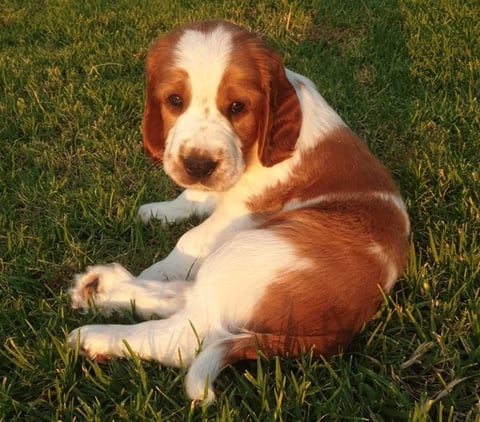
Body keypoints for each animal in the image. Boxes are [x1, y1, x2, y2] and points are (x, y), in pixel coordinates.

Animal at [69, 20, 410, 406]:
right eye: (175, 101)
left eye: (237, 106)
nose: (198, 165)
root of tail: (340, 331)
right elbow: (194, 196)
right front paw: (161, 211)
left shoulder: (248, 208)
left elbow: (193, 239)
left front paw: (158, 266)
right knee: (193, 297)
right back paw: (102, 287)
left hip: (254, 250)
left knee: (186, 334)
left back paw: (95, 336)